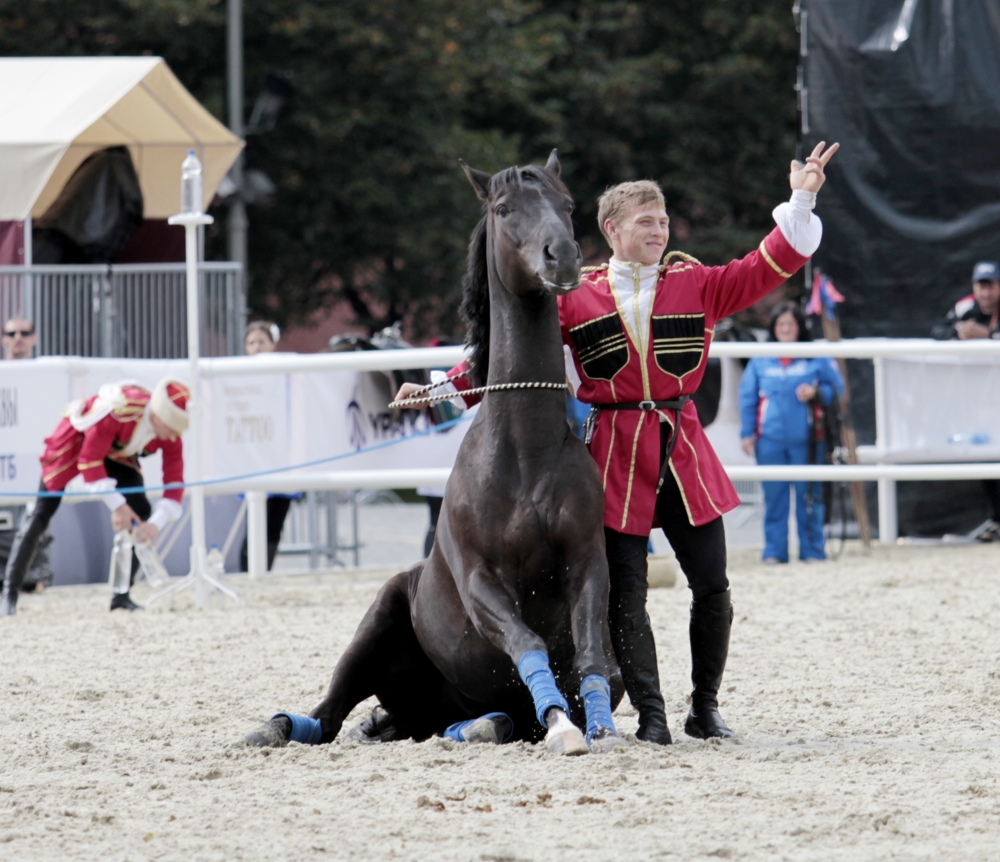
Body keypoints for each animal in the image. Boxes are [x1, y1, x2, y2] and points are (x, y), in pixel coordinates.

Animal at [244, 154, 624, 756]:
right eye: (503, 208)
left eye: (566, 204)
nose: (561, 256)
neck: (525, 451)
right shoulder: (481, 582)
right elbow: (527, 641)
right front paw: (565, 726)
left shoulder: (586, 562)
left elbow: (591, 655)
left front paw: (599, 727)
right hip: (377, 623)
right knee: (327, 715)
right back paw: (274, 728)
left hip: (432, 704)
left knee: (484, 720)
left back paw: (477, 725)